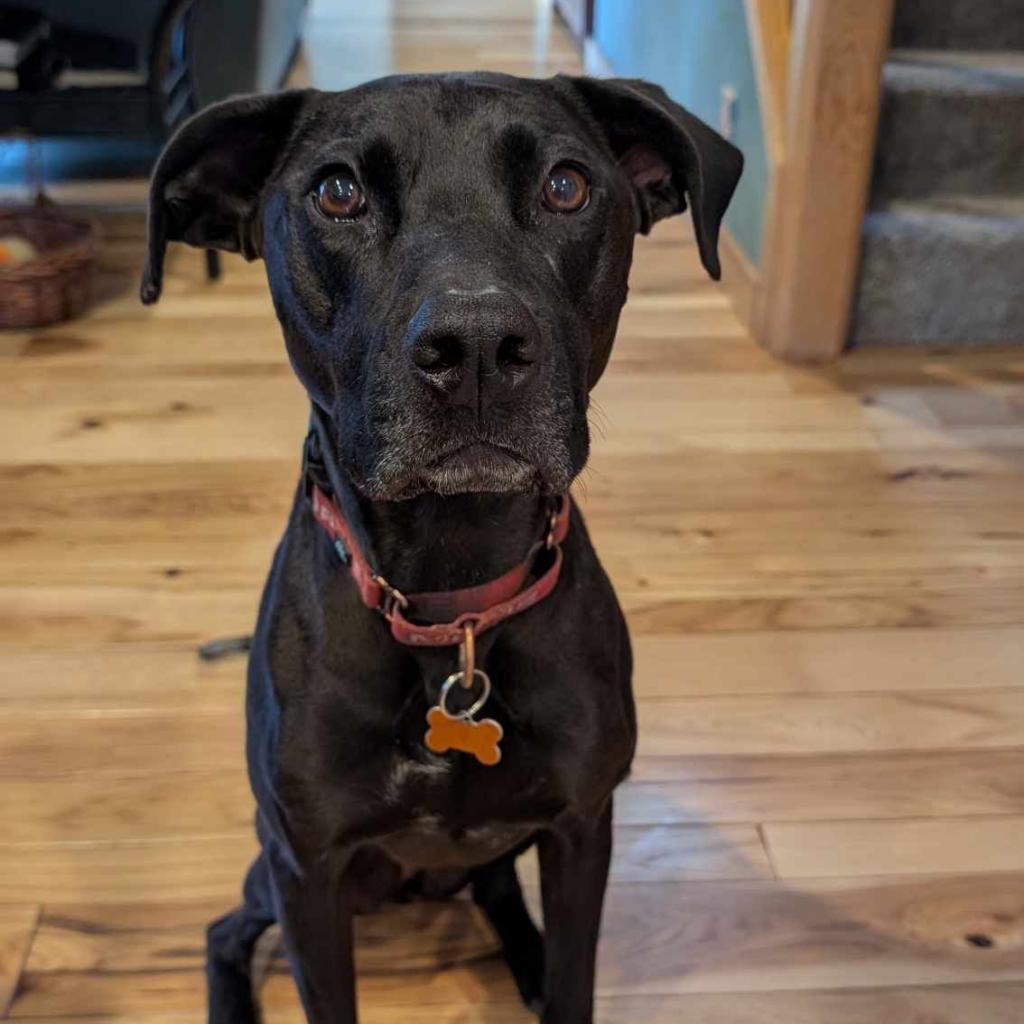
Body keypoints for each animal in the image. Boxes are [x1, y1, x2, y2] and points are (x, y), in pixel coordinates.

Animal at [140, 74, 741, 1024]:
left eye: (566, 185)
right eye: (336, 192)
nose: (478, 347)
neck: (452, 594)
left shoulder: (581, 830)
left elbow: (576, 982)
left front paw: (551, 974)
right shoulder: (307, 869)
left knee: (494, 892)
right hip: (273, 870)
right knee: (221, 931)